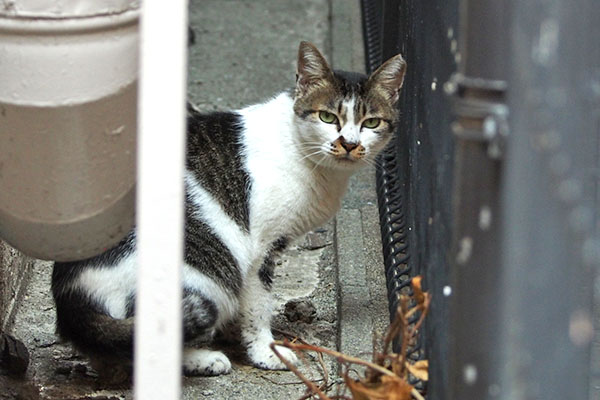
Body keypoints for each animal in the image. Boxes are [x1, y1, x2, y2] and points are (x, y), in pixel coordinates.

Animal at [52, 42, 408, 380]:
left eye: (371, 122)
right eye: (328, 117)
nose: (349, 144)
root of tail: (71, 298)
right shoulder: (258, 250)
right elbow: (259, 307)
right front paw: (265, 352)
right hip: (213, 275)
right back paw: (205, 359)